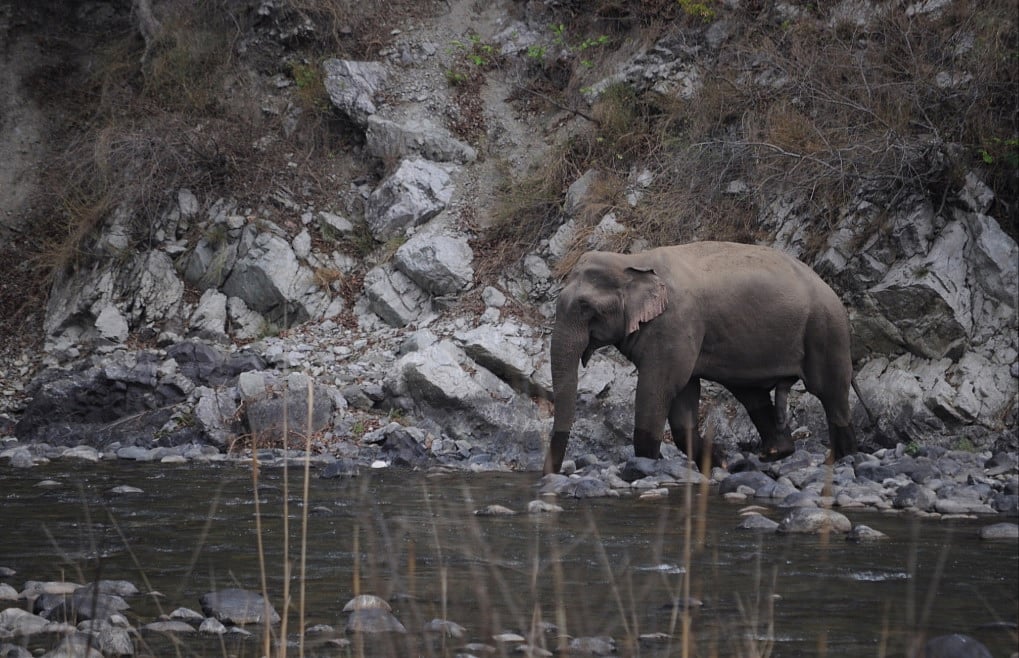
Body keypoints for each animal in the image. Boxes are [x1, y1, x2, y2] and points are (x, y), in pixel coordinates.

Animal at [544, 241, 868, 475]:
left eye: (585, 307)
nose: (550, 475)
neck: (631, 260)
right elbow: (682, 399)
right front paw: (720, 462)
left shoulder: (675, 324)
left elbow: (658, 388)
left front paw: (645, 463)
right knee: (752, 394)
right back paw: (776, 453)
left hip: (826, 329)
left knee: (830, 392)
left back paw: (845, 456)